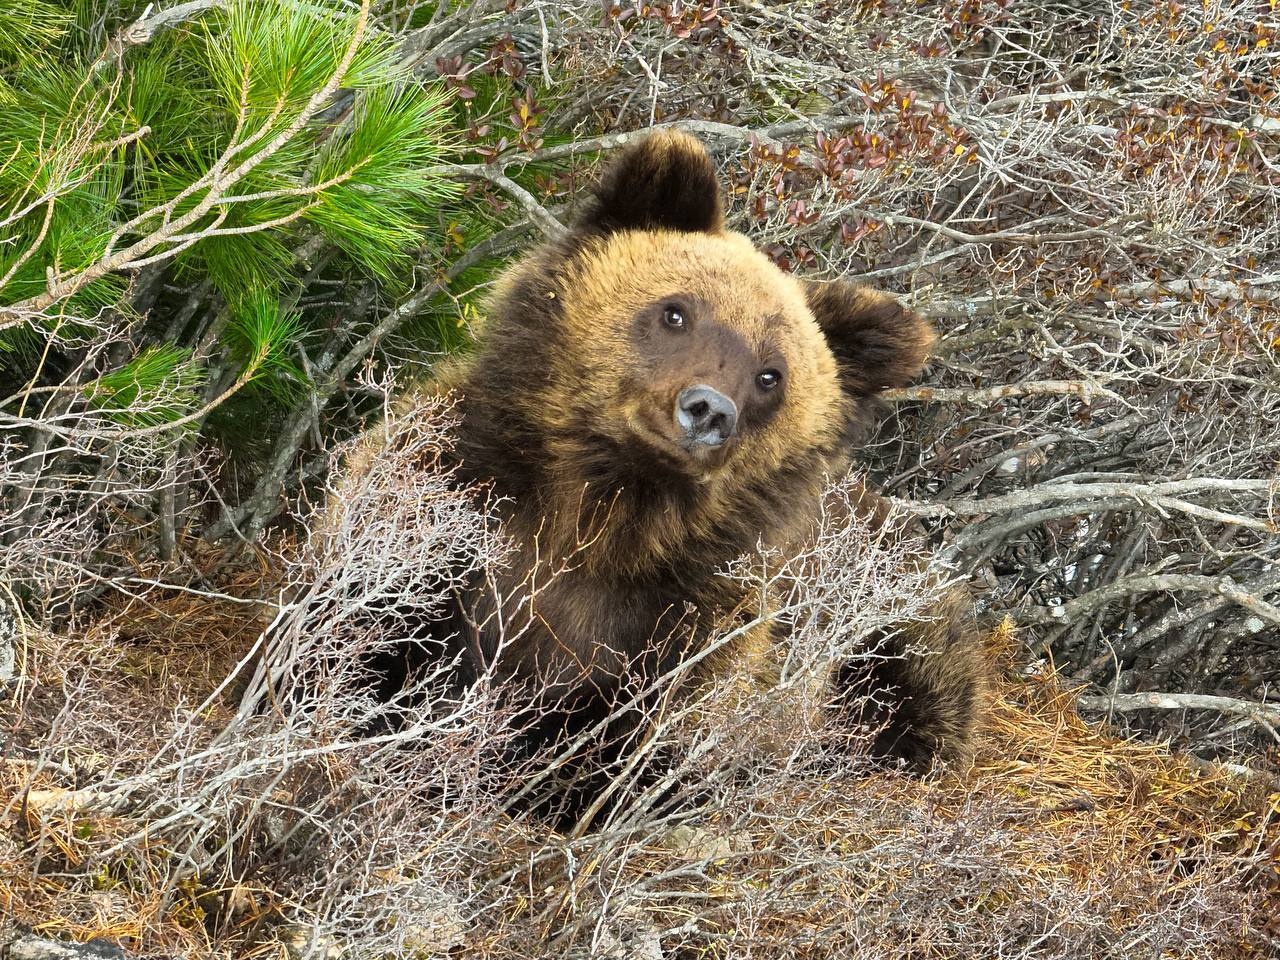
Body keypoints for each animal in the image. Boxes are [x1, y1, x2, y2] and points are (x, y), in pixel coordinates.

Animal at [348, 129, 988, 829]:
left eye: (772, 374)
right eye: (677, 312)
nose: (708, 409)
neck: (603, 513)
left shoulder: (700, 616)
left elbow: (637, 735)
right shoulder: (451, 494)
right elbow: (379, 624)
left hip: (898, 610)